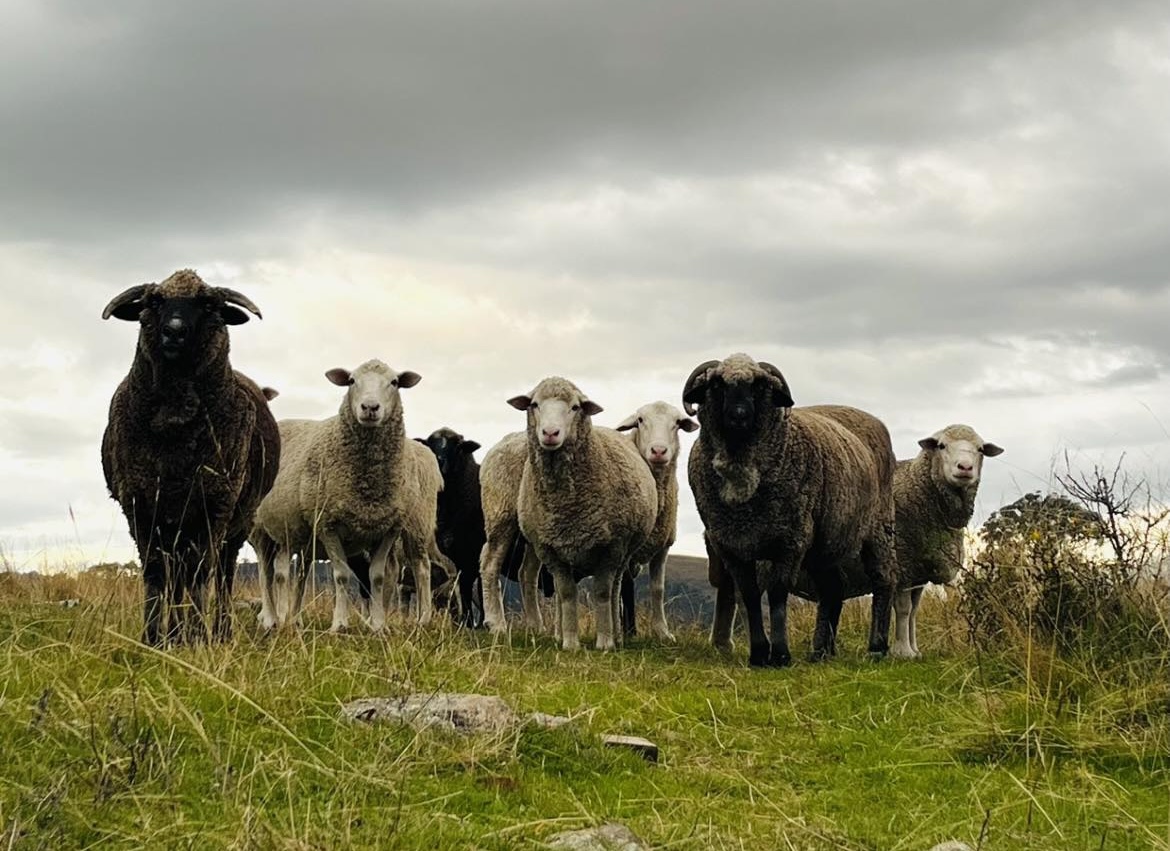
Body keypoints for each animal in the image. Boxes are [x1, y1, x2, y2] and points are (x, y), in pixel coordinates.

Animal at [101, 269, 280, 645]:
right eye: (154, 301)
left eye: (209, 305)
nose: (174, 330)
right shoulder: (140, 505)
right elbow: (157, 572)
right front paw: (154, 638)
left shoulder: (214, 505)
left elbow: (200, 573)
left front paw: (197, 637)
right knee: (176, 574)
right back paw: (175, 633)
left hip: (238, 519)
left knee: (222, 574)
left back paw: (220, 632)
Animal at [249, 359, 444, 633]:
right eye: (351, 381)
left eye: (395, 382)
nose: (370, 407)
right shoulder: (327, 525)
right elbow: (340, 575)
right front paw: (340, 624)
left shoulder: (388, 527)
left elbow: (378, 576)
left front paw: (378, 626)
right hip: (266, 529)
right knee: (268, 572)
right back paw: (272, 618)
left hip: (416, 524)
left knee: (420, 567)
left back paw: (421, 619)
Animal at [506, 377, 658, 651]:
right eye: (534, 404)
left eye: (575, 407)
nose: (550, 433)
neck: (565, 504)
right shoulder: (553, 551)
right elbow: (567, 594)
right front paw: (570, 642)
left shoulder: (610, 548)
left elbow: (602, 593)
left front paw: (605, 641)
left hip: (624, 552)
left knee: (615, 590)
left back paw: (617, 635)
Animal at [613, 401, 699, 640]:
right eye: (640, 420)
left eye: (677, 423)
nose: (659, 451)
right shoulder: (626, 548)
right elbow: (625, 588)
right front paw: (628, 632)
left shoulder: (662, 547)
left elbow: (657, 589)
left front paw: (662, 632)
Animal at [683, 354, 897, 666]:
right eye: (716, 384)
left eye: (760, 386)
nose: (739, 415)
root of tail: (876, 421)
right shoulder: (731, 545)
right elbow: (749, 596)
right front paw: (759, 654)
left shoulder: (790, 540)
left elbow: (777, 595)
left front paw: (781, 654)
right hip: (824, 544)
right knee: (833, 590)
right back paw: (820, 651)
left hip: (878, 528)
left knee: (883, 579)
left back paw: (877, 648)